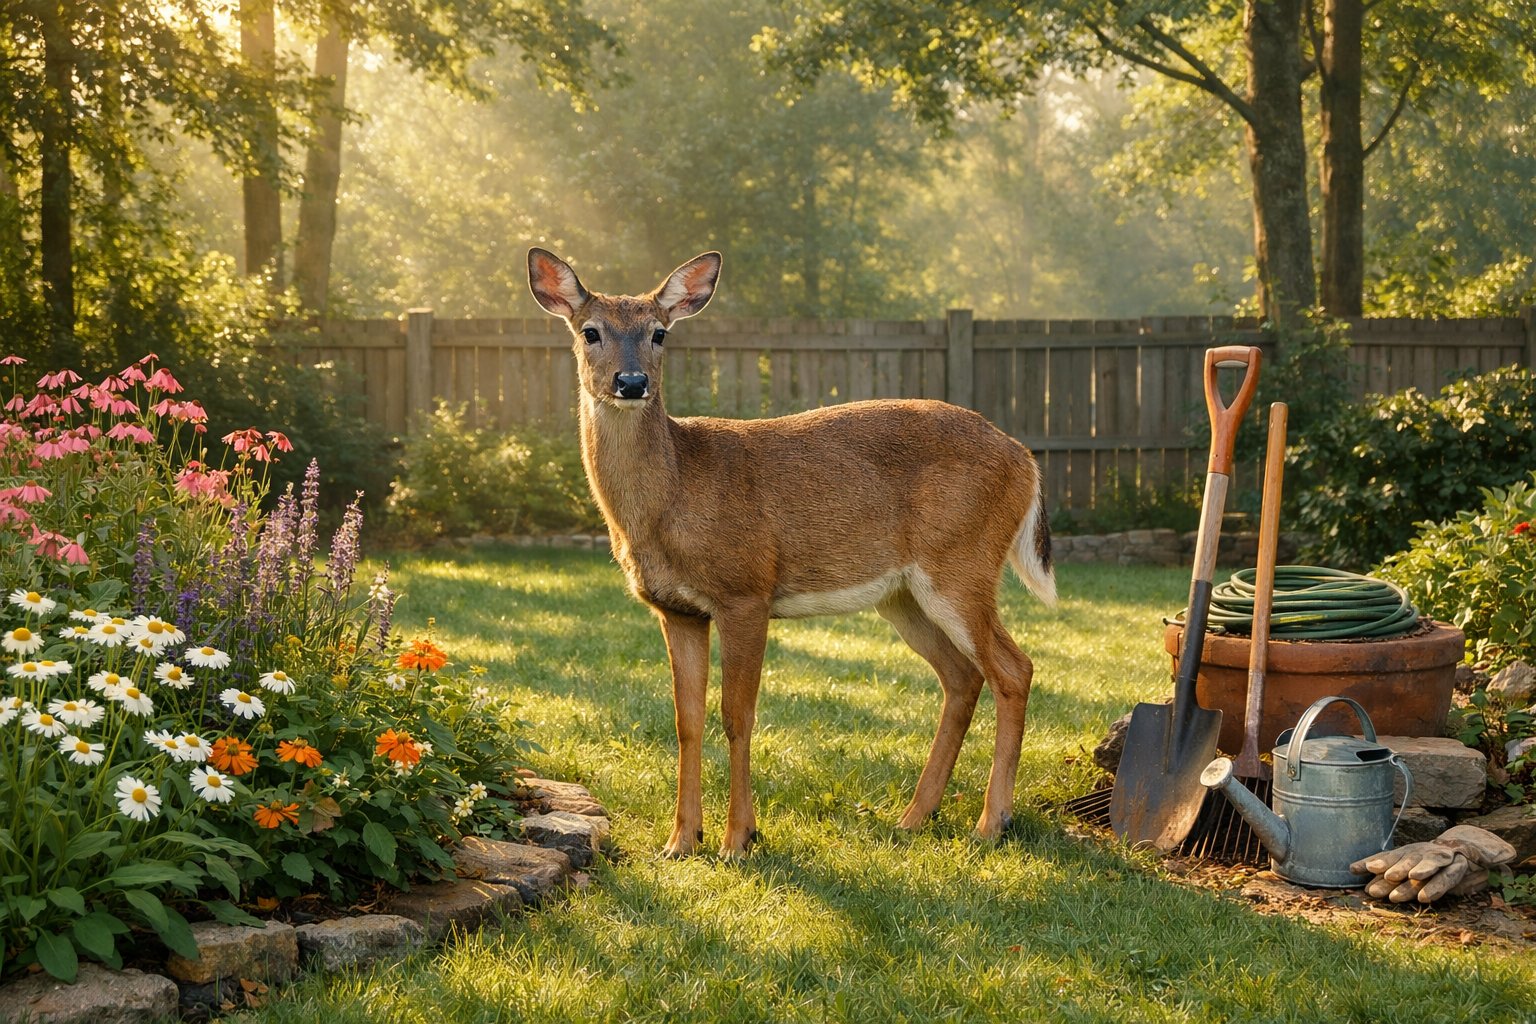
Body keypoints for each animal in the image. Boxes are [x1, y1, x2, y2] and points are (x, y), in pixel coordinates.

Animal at [526, 247, 1056, 858]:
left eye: (659, 333)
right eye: (590, 331)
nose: (631, 381)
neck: (673, 493)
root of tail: (1025, 458)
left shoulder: (746, 592)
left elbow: (737, 715)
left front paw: (738, 838)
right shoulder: (677, 610)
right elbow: (687, 720)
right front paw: (681, 840)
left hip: (962, 562)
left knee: (1014, 669)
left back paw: (991, 822)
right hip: (903, 595)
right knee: (963, 676)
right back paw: (913, 817)